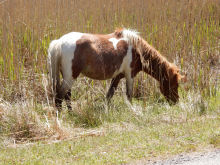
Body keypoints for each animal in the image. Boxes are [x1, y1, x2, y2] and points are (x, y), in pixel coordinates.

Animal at [47, 28, 186, 111]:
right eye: (174, 84)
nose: (176, 102)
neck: (137, 49)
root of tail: (60, 42)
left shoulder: (117, 77)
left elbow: (110, 95)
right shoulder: (130, 75)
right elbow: (129, 94)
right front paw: (131, 109)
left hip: (68, 76)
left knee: (67, 95)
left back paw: (71, 112)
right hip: (71, 77)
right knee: (60, 94)